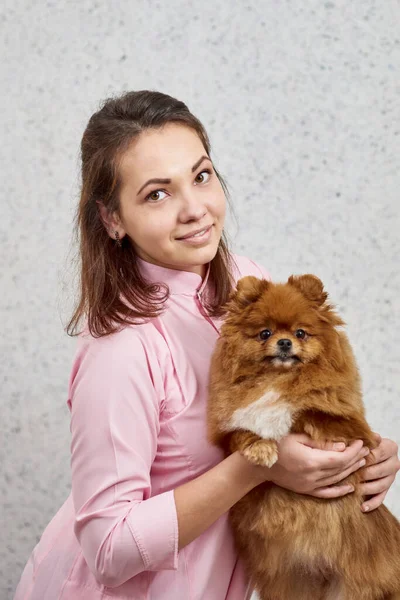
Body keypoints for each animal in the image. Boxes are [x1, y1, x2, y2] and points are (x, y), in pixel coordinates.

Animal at [208, 274, 400, 596]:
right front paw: (261, 447)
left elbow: (308, 410)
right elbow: (242, 433)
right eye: (265, 333)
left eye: (301, 333)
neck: (279, 378)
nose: (285, 342)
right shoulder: (228, 433)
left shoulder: (350, 426)